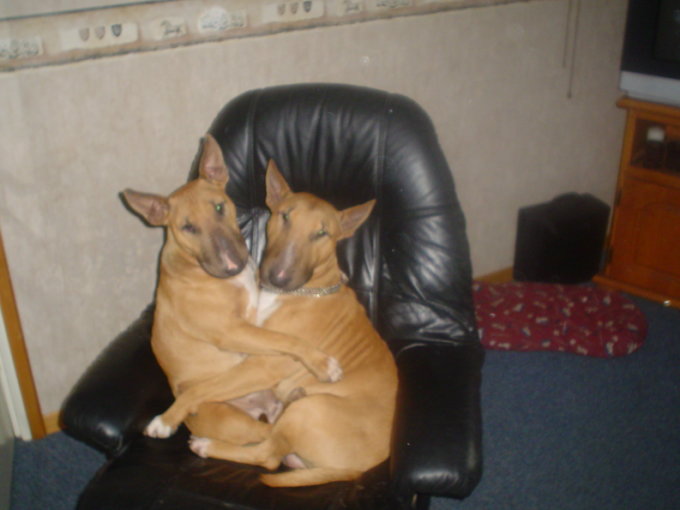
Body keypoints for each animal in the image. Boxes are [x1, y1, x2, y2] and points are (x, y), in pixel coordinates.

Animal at [121, 135, 341, 443]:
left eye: (218, 207)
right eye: (188, 227)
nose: (232, 263)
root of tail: (258, 407)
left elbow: (279, 337)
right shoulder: (229, 330)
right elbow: (285, 339)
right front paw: (322, 364)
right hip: (229, 416)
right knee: (265, 432)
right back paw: (166, 423)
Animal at [160, 160, 398, 487]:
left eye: (322, 233)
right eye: (285, 216)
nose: (278, 277)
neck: (307, 290)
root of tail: (358, 471)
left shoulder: (263, 364)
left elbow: (202, 388)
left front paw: (165, 420)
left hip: (310, 410)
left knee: (268, 456)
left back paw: (207, 445)